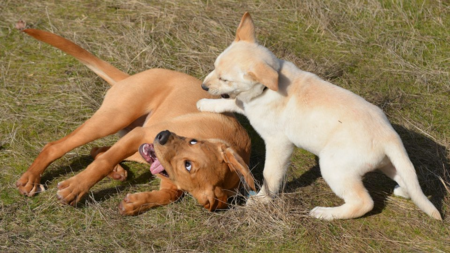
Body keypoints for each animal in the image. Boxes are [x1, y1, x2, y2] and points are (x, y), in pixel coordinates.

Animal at [14, 22, 255, 215]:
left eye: (188, 166)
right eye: (193, 141)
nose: (163, 136)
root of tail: (127, 78)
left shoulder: (160, 168)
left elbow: (172, 195)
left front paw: (135, 203)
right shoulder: (142, 135)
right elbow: (102, 162)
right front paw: (75, 188)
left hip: (133, 140)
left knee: (98, 149)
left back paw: (117, 171)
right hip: (115, 118)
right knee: (56, 146)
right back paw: (31, 179)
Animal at [195, 12, 442, 220]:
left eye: (225, 79)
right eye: (215, 67)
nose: (203, 86)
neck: (266, 89)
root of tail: (389, 134)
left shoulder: (278, 144)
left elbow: (270, 174)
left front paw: (262, 200)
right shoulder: (248, 104)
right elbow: (233, 102)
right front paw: (206, 104)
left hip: (333, 166)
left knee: (364, 202)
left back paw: (325, 213)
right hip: (385, 163)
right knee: (407, 180)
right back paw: (402, 190)